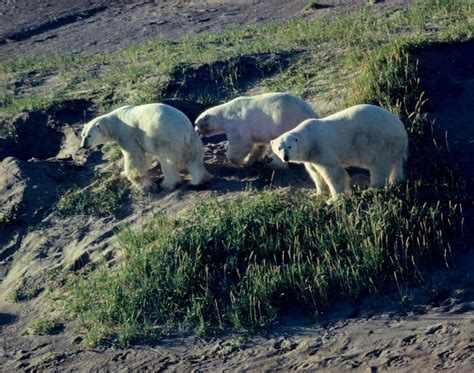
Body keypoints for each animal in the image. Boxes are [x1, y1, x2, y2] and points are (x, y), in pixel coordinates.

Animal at [81, 102, 211, 192]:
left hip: (168, 140)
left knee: (167, 161)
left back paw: (167, 184)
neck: (114, 121)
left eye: (89, 135)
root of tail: (185, 133)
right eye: (82, 135)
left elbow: (133, 156)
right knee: (194, 160)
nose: (83, 145)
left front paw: (134, 178)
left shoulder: (126, 135)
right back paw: (199, 180)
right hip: (194, 141)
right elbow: (145, 155)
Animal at [272, 103, 410, 202]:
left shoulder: (321, 147)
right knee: (396, 163)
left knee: (379, 167)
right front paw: (317, 194)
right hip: (394, 145)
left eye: (289, 146)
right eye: (279, 148)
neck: (309, 137)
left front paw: (334, 199)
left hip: (382, 141)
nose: (285, 157)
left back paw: (371, 189)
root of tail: (402, 129)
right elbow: (315, 173)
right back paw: (396, 180)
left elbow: (332, 171)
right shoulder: (311, 157)